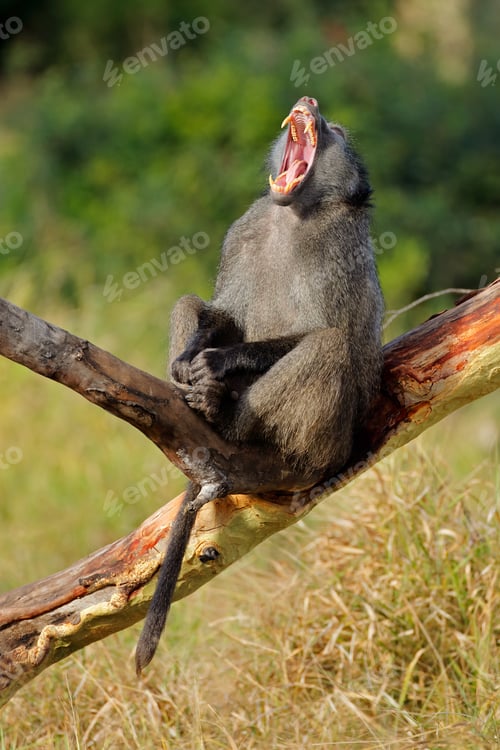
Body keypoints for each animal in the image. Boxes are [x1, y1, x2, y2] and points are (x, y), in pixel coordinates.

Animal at [135, 96, 384, 673]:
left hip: (325, 436)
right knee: (189, 302)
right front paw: (192, 358)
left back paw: (227, 415)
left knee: (327, 349)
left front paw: (219, 364)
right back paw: (202, 402)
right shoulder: (242, 230)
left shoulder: (336, 249)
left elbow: (327, 333)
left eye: (337, 132)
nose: (310, 103)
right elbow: (222, 313)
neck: (292, 215)